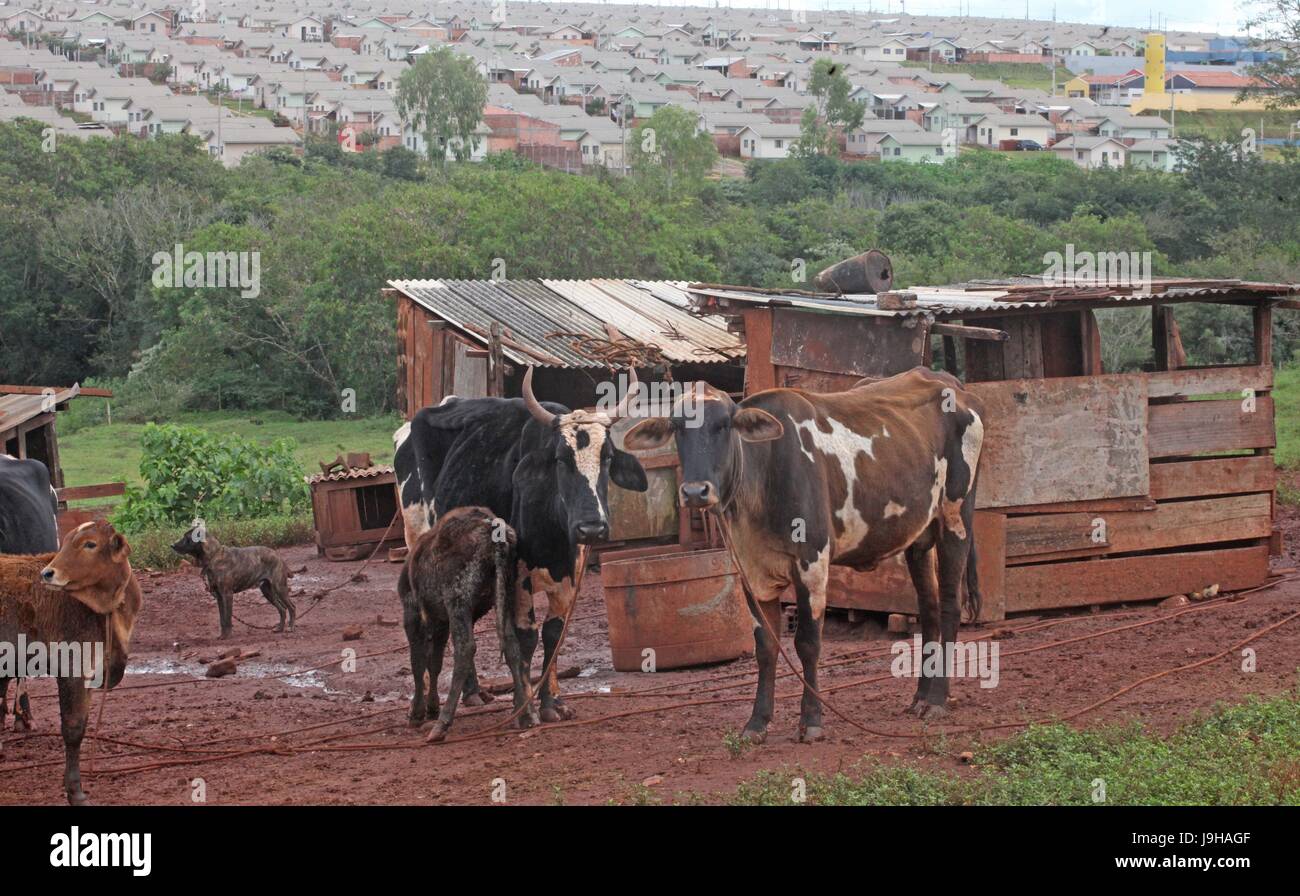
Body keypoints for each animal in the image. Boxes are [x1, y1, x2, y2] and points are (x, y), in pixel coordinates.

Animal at [397, 507, 535, 738]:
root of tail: (493, 533)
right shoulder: (441, 621)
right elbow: (434, 663)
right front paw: (431, 707)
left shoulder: (413, 613)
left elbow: (418, 662)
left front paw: (417, 712)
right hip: (504, 595)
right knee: (511, 645)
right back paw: (524, 715)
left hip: (458, 600)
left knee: (465, 649)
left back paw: (442, 724)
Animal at [626, 366, 982, 743]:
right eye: (677, 427)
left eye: (723, 425)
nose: (695, 491)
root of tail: (944, 380)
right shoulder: (750, 571)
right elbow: (766, 647)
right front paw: (757, 722)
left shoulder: (812, 560)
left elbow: (808, 642)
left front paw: (811, 719)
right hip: (918, 537)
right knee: (928, 610)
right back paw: (920, 697)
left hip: (956, 518)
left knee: (949, 607)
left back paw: (939, 699)